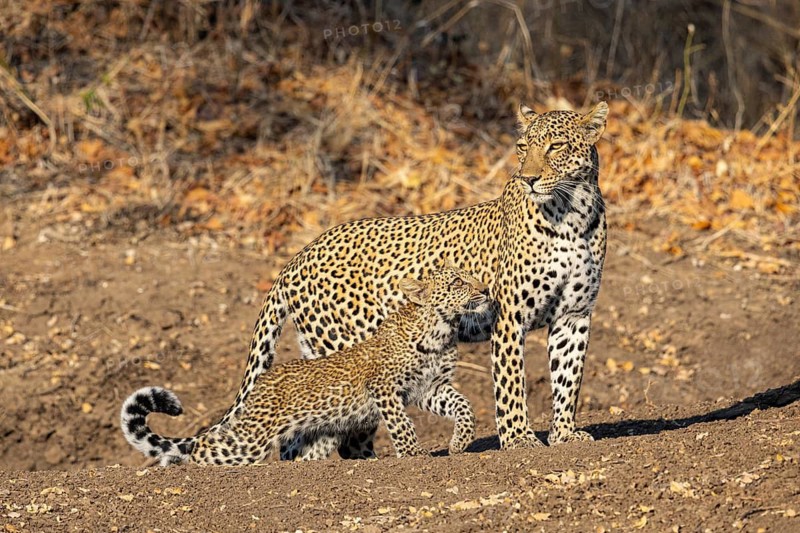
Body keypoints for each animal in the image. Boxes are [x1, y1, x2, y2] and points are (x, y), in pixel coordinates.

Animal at [121, 267, 489, 465]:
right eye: (458, 282)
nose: (486, 290)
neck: (441, 329)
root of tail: (261, 383)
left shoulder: (431, 388)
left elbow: (464, 406)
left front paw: (459, 443)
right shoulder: (384, 388)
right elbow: (402, 425)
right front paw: (414, 455)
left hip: (320, 433)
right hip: (250, 440)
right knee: (204, 448)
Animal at [225, 102, 609, 460]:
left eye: (556, 146)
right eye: (522, 146)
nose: (528, 178)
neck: (572, 215)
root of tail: (295, 259)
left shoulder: (573, 316)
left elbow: (568, 378)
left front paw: (564, 435)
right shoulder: (510, 317)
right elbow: (511, 383)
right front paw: (519, 440)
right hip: (345, 355)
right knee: (332, 438)